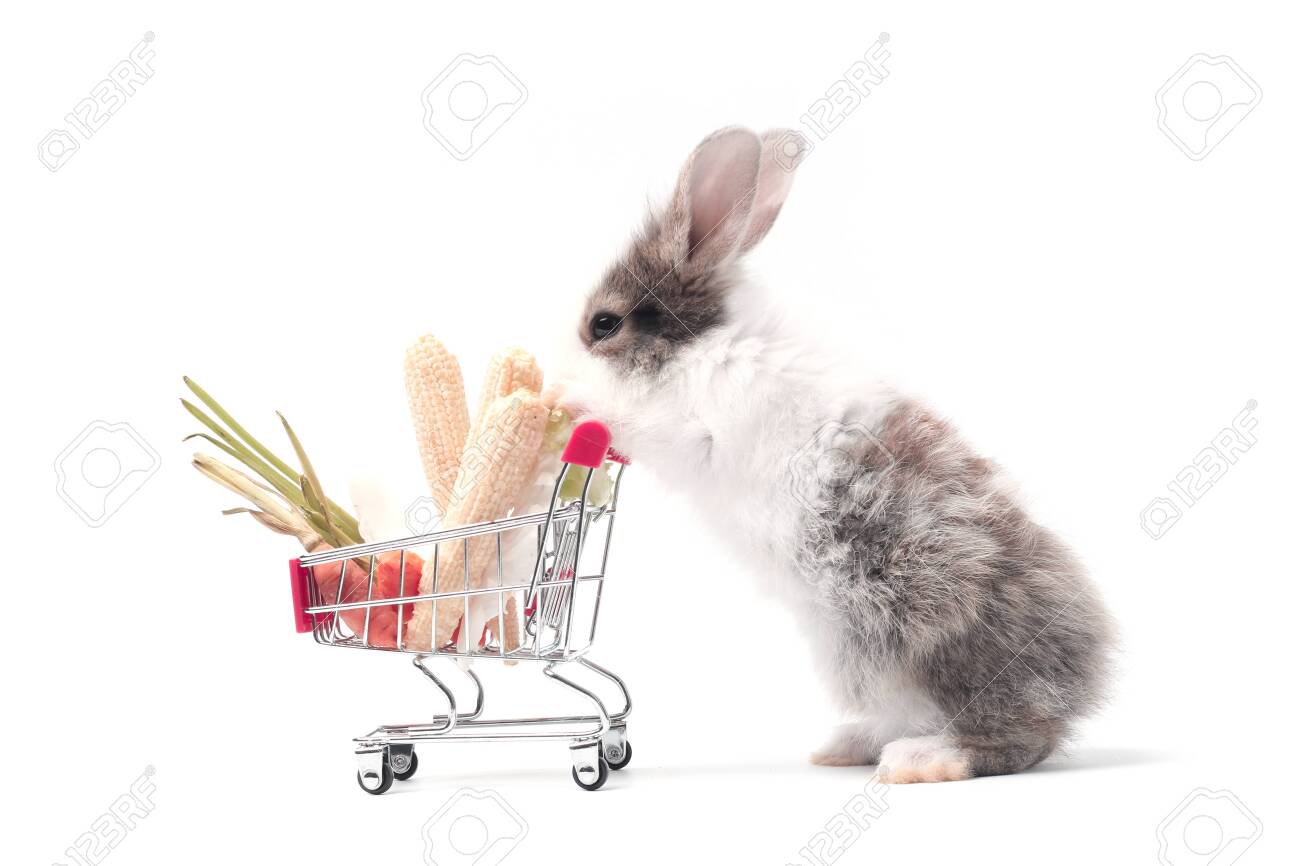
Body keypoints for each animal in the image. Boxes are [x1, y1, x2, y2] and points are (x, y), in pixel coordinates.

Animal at [550, 126, 1116, 783]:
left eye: (604, 323)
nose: (555, 368)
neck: (701, 350)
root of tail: (1083, 675)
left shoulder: (690, 427)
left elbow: (633, 418)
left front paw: (563, 398)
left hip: (923, 629)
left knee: (1018, 738)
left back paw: (921, 761)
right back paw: (846, 746)